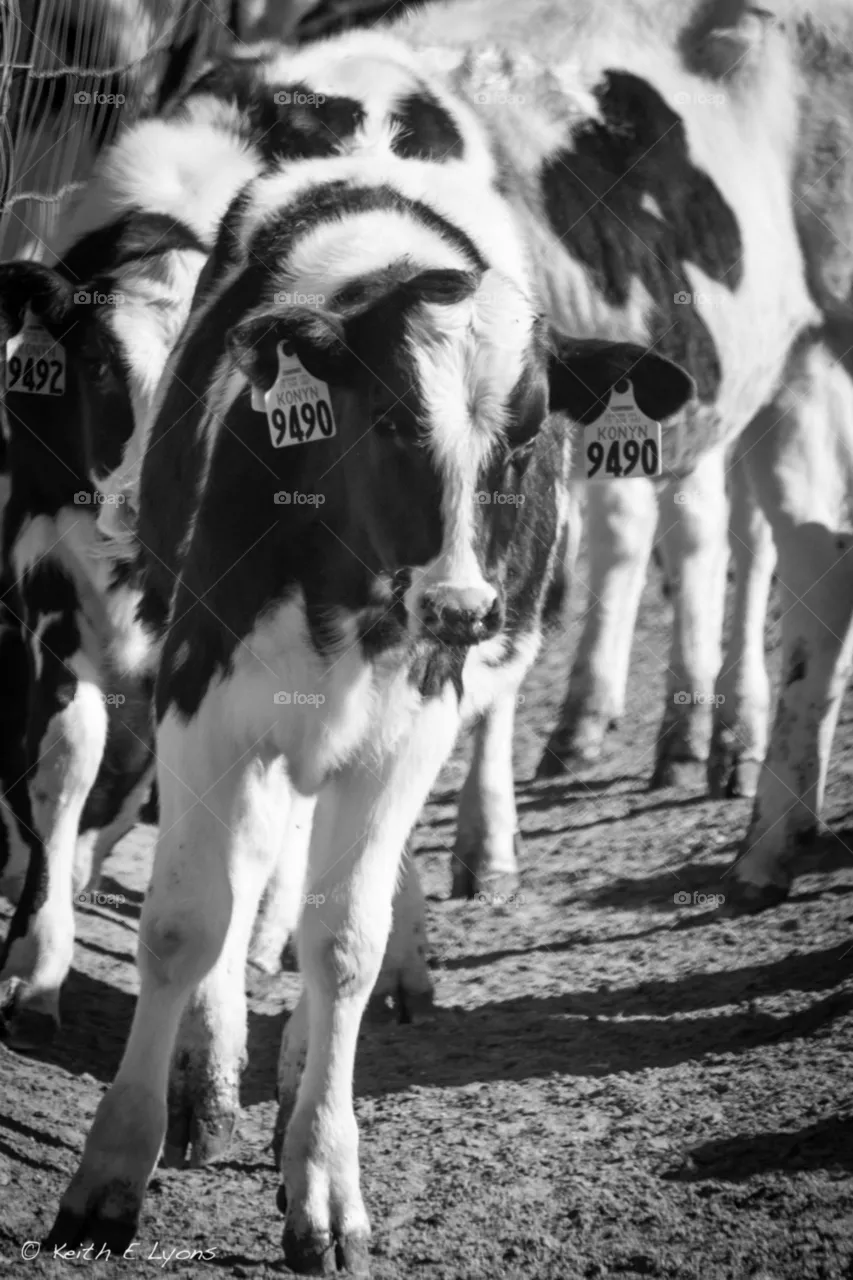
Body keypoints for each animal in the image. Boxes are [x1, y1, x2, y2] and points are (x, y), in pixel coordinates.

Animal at [45, 48, 693, 1265]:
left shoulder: (411, 724)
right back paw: (213, 1074)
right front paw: (115, 1168)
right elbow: (184, 922)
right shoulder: (203, 694)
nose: (461, 606)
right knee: (250, 866)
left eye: (527, 437)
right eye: (390, 418)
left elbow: (344, 939)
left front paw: (324, 1182)